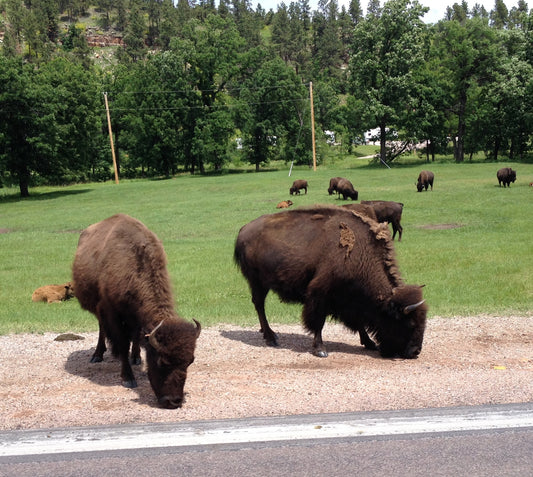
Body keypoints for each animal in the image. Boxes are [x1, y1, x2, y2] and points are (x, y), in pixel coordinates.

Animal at [71, 214, 201, 408]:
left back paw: (136, 357)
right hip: (98, 309)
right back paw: (98, 355)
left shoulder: (136, 317)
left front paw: (136, 358)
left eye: (190, 361)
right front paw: (128, 378)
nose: (174, 401)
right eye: (162, 361)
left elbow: (134, 336)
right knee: (102, 328)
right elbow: (122, 343)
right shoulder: (111, 312)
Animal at [235, 206, 426, 358]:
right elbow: (318, 322)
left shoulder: (351, 301)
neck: (361, 255)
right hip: (257, 282)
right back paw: (271, 337)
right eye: (409, 324)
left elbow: (359, 321)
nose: (415, 352)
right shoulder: (320, 295)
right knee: (259, 305)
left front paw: (369, 343)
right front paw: (320, 350)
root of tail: (243, 230)